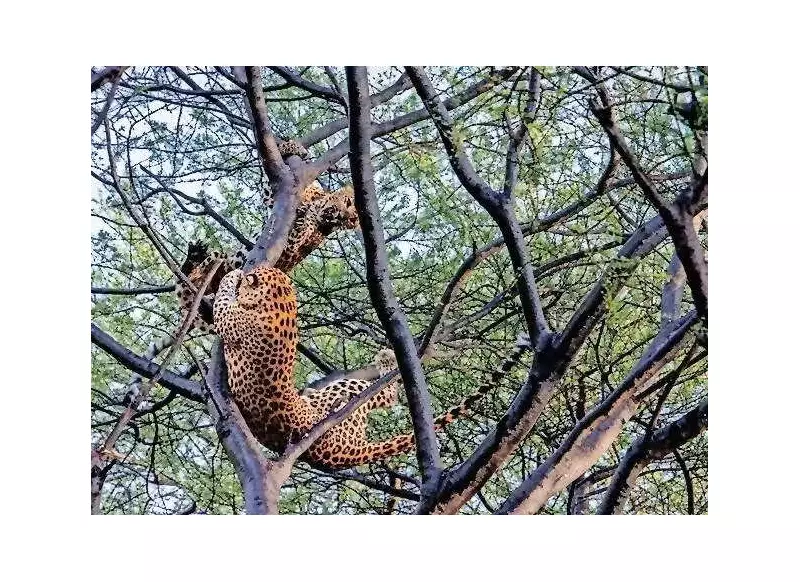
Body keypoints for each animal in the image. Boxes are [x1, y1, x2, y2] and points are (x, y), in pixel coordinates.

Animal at [213, 263, 531, 470]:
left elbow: (221, 303)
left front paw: (231, 274)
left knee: (388, 396)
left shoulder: (230, 319)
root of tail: (351, 452)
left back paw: (385, 358)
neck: (283, 308)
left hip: (344, 397)